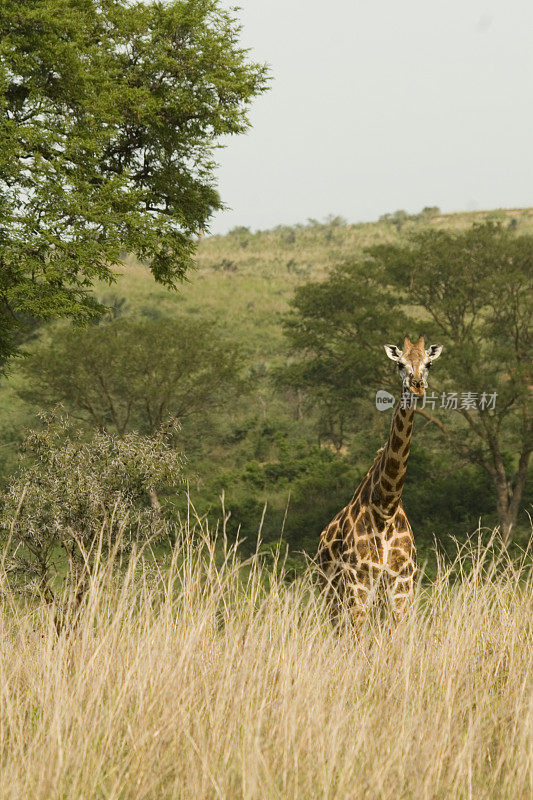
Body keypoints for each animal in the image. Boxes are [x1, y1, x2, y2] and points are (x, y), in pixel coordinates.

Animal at [316, 334, 440, 628]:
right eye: (400, 364)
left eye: (429, 364)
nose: (417, 387)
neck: (386, 506)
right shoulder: (359, 582)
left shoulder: (402, 584)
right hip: (332, 595)